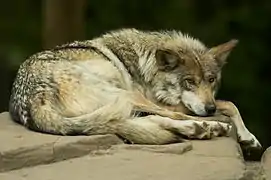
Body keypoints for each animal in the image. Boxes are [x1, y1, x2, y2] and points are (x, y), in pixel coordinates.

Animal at [8, 27, 262, 149]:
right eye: (189, 82)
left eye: (211, 80)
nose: (209, 109)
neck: (145, 64)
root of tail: (33, 100)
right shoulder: (164, 101)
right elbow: (228, 103)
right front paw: (244, 135)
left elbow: (230, 104)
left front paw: (249, 138)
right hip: (126, 96)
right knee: (170, 117)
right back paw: (209, 127)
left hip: (120, 106)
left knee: (145, 121)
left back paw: (199, 129)